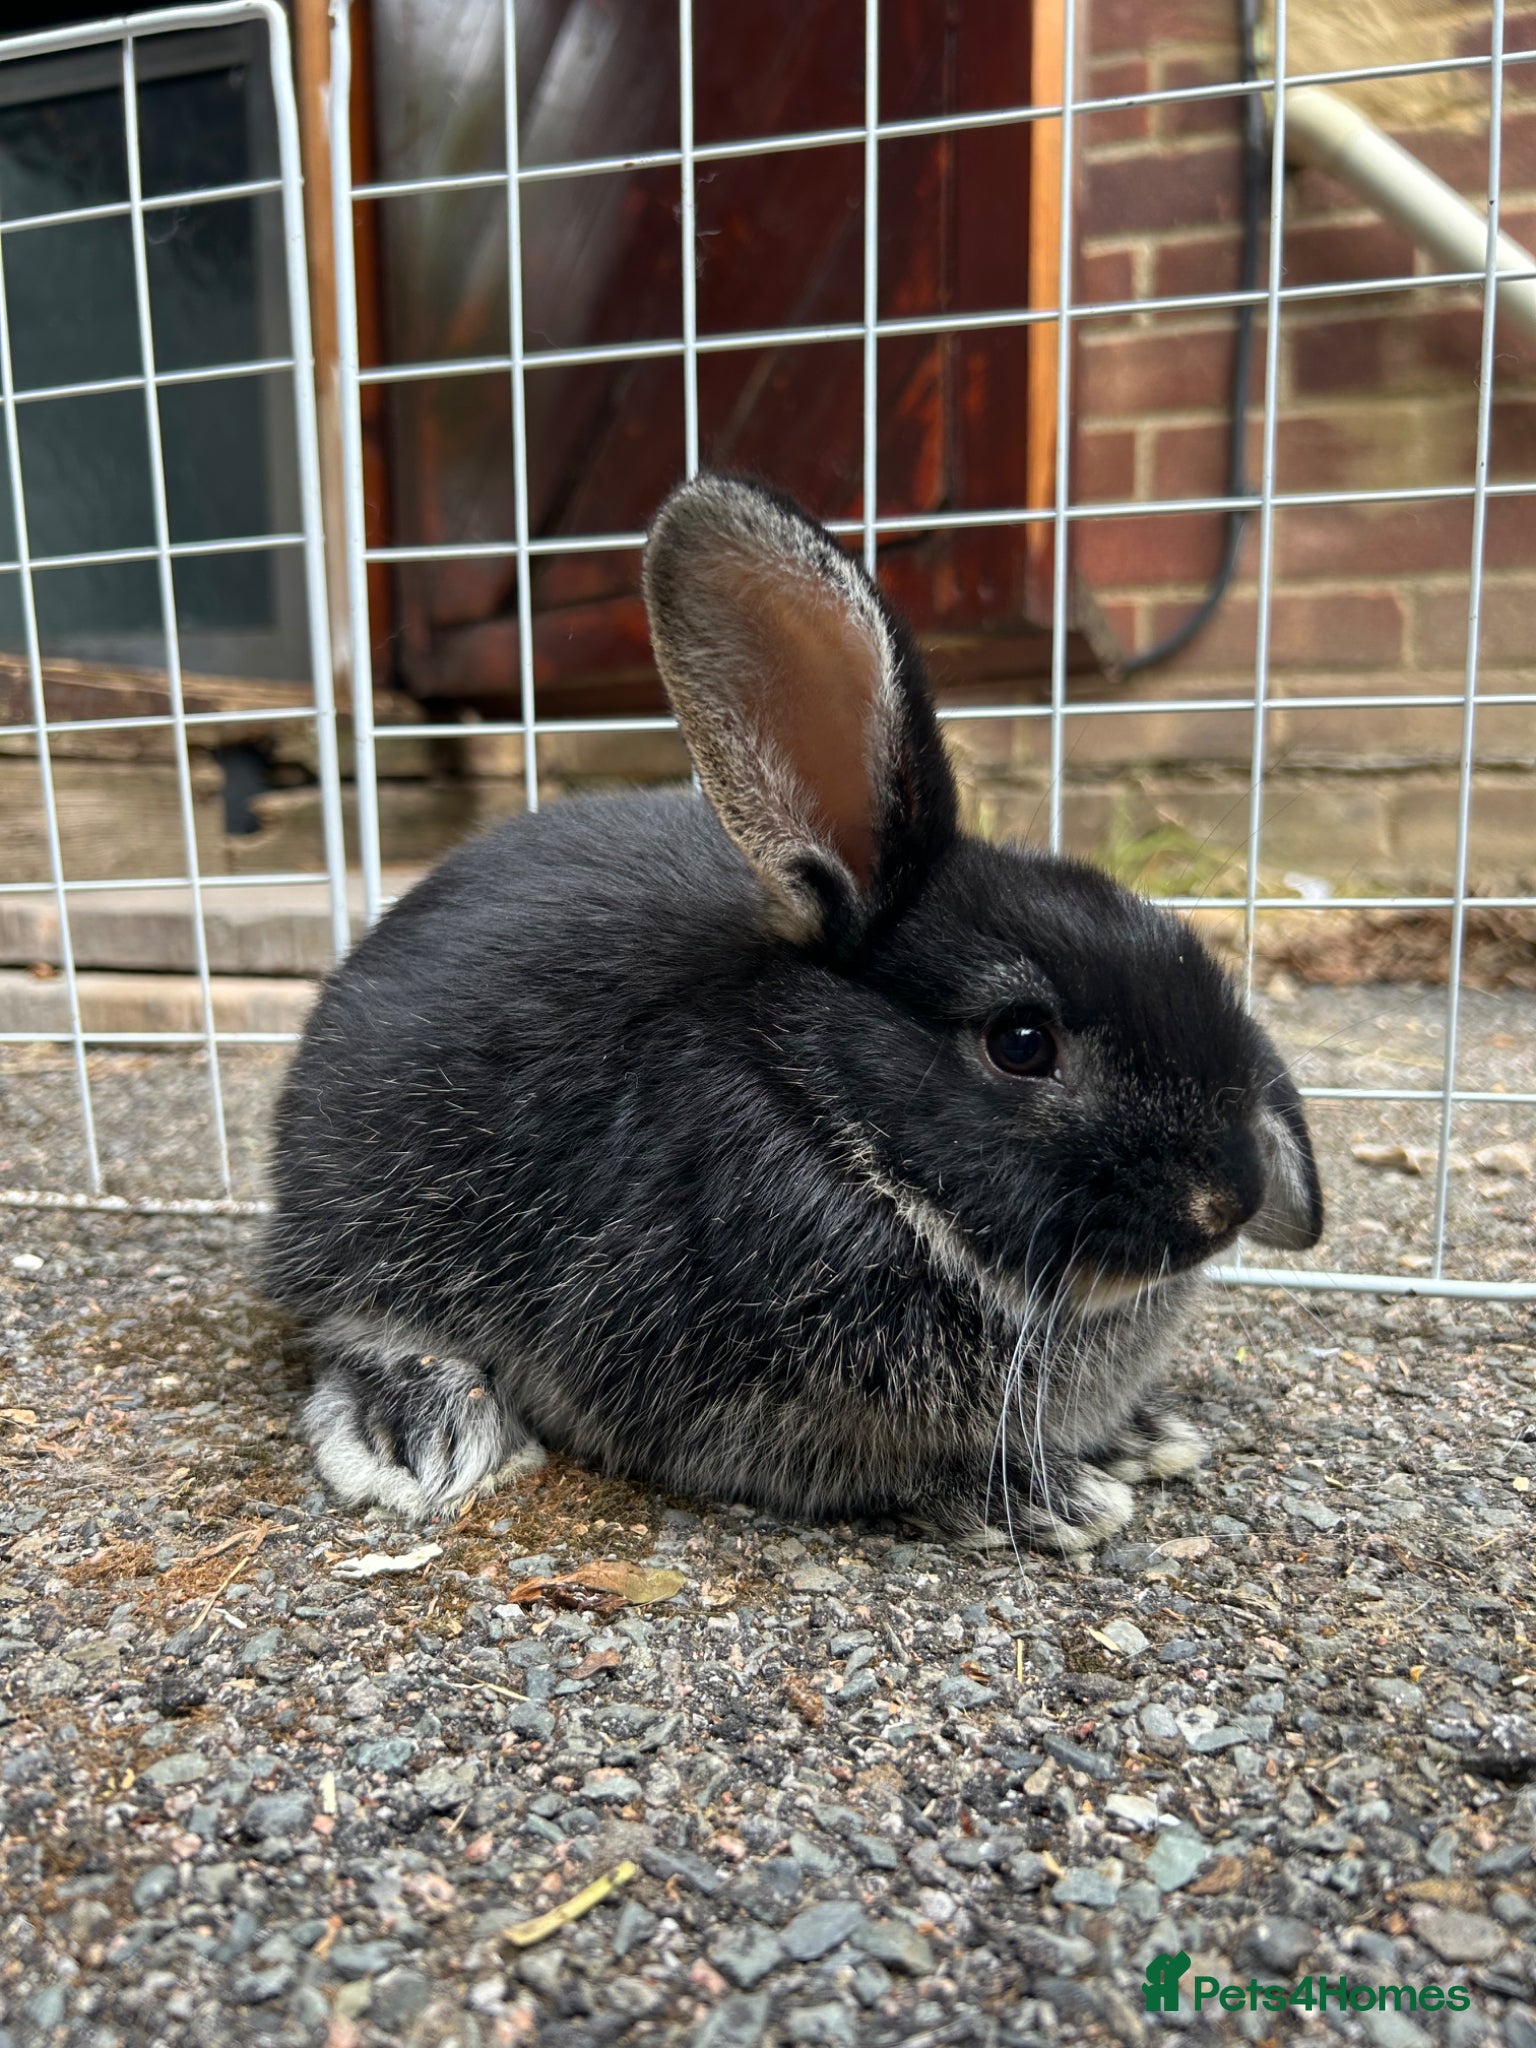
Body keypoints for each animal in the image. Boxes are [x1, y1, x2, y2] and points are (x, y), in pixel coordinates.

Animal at [263, 472, 1322, 1553]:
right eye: (1021, 1042)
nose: (1229, 1199)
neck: (825, 1110)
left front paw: (1142, 1432)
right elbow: (887, 1471)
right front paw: (1044, 1493)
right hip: (366, 1204)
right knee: (351, 1312)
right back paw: (420, 1423)